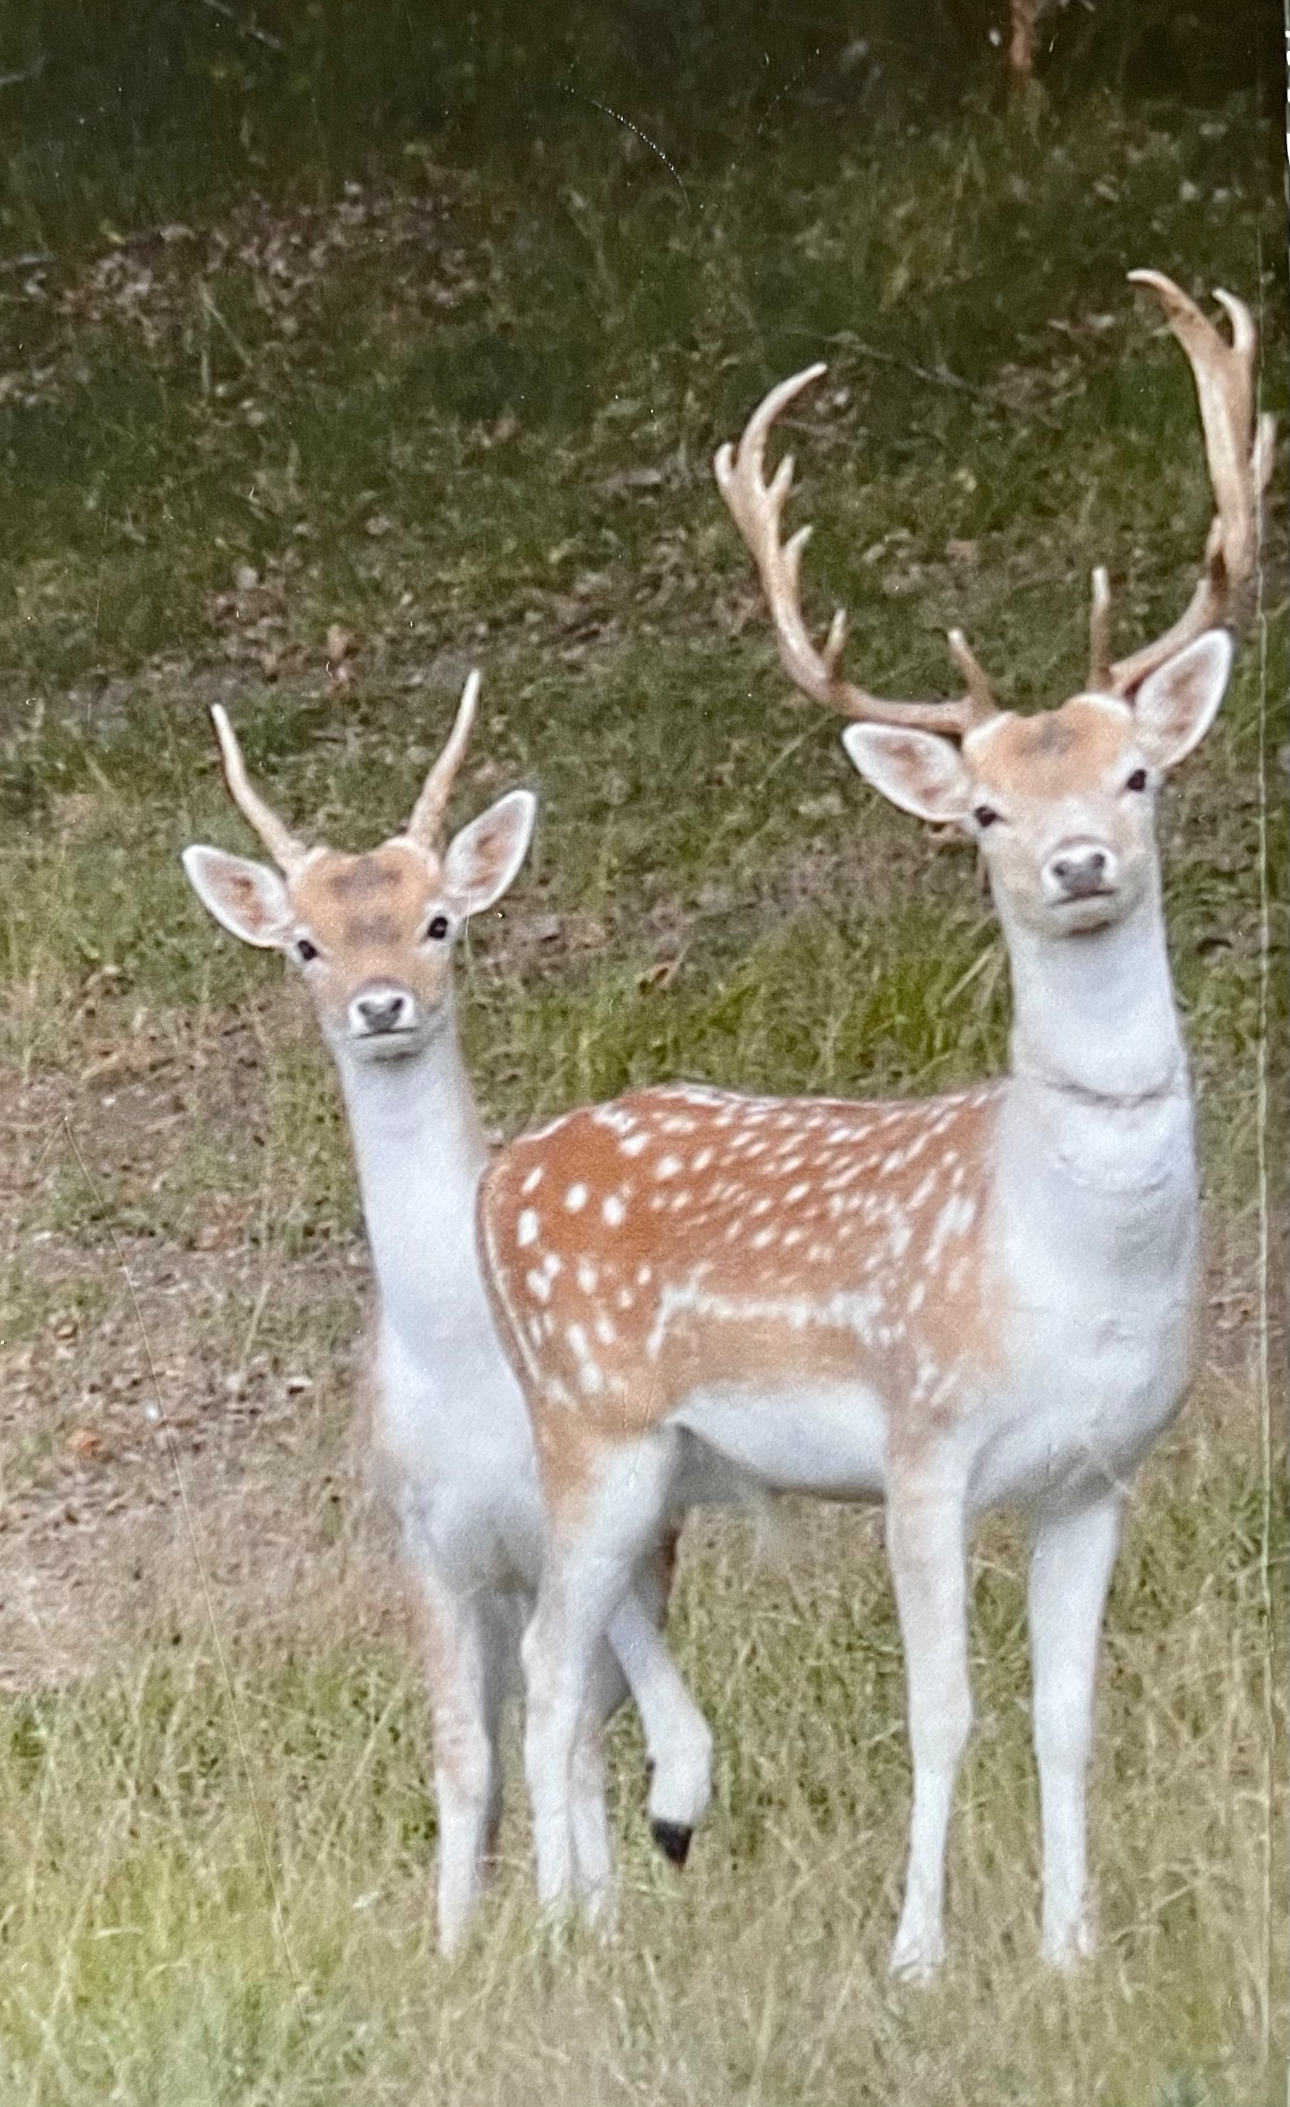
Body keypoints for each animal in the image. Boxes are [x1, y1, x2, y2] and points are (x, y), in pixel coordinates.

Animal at [179, 682, 716, 1946]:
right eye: (304, 942)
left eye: (438, 922)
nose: (381, 1006)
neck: (464, 1373)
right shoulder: (422, 1536)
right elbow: (465, 1759)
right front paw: (455, 1945)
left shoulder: (572, 1525)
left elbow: (569, 1737)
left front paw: (574, 1925)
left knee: (589, 1724)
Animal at [480, 267, 1273, 1972]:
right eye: (980, 806)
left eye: (1135, 774)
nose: (1074, 861)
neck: (1062, 1258)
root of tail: (502, 1169)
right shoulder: (924, 1440)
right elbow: (942, 1709)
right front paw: (916, 1954)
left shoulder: (1097, 1470)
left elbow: (1062, 1714)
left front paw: (1068, 1948)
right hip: (589, 1420)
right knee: (546, 1665)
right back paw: (563, 1930)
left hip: (656, 1466)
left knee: (583, 1657)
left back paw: (607, 1900)